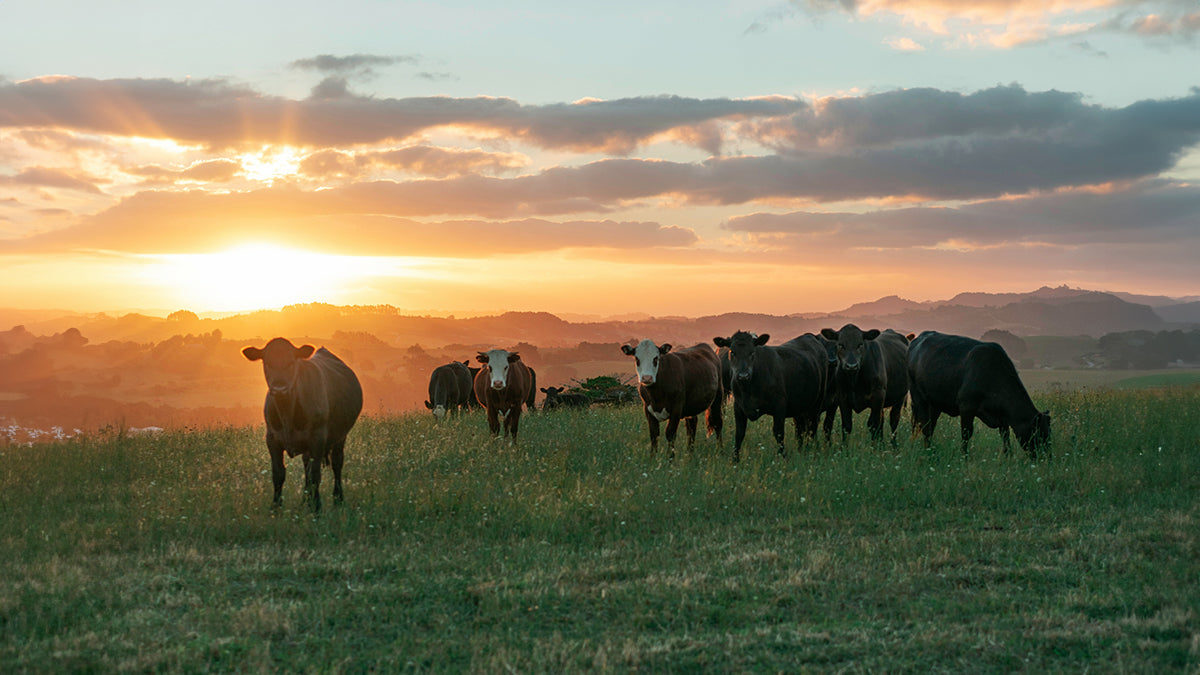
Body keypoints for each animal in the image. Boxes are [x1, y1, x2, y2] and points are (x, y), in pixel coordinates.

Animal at [240, 336, 360, 509]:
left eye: (291, 362)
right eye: (267, 363)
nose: (279, 388)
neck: (287, 412)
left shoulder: (318, 438)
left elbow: (315, 475)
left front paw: (317, 507)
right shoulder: (272, 438)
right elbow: (278, 474)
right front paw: (276, 507)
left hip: (341, 435)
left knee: (337, 464)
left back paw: (338, 499)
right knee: (306, 466)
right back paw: (305, 500)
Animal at [705, 331, 830, 461]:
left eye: (752, 352)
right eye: (732, 352)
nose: (743, 376)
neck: (748, 389)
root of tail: (810, 336)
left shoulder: (779, 405)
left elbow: (778, 432)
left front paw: (782, 457)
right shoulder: (739, 407)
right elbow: (739, 433)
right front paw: (735, 460)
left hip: (817, 403)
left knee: (812, 427)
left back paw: (811, 450)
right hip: (800, 406)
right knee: (801, 428)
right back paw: (802, 450)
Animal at [907, 329, 1051, 458]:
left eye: (1049, 433)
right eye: (1039, 434)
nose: (1047, 459)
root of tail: (919, 338)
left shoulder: (1002, 416)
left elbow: (1005, 435)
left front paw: (1008, 457)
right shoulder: (967, 406)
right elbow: (966, 433)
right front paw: (964, 457)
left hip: (935, 403)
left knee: (931, 425)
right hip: (918, 398)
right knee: (924, 425)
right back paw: (930, 452)